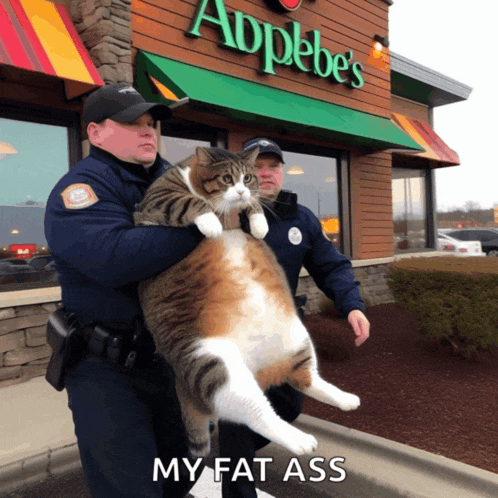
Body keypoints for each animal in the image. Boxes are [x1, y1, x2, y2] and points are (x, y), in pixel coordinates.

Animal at [134, 146, 360, 458]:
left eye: (249, 177)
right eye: (227, 179)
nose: (240, 191)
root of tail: (258, 369)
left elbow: (255, 205)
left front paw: (259, 223)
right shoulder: (156, 200)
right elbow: (187, 201)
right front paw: (210, 223)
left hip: (297, 337)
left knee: (307, 379)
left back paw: (344, 398)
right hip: (213, 364)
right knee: (258, 414)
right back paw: (300, 440)